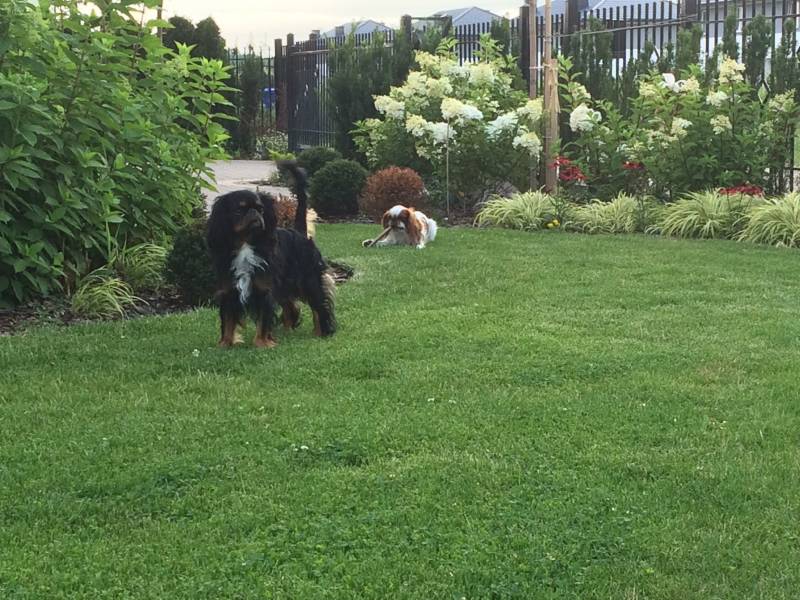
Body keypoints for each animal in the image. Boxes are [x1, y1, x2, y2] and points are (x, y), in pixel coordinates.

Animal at [206, 162, 336, 348]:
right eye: (239, 210)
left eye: (260, 209)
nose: (255, 213)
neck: (246, 244)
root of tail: (299, 232)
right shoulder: (229, 291)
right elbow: (228, 320)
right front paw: (225, 344)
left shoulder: (264, 289)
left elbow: (263, 320)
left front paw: (262, 344)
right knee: (291, 306)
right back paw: (288, 330)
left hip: (309, 280)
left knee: (319, 306)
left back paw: (322, 332)